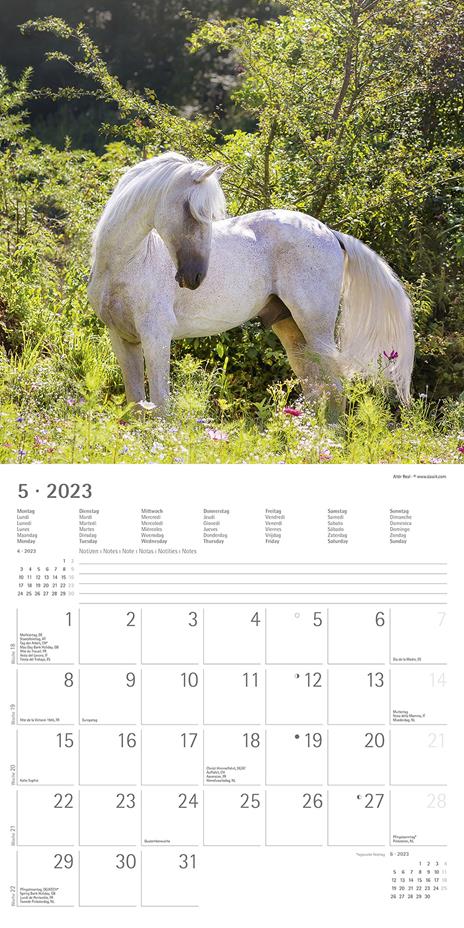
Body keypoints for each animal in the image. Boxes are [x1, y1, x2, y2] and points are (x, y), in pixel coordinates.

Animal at [88, 151, 414, 420]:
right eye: (190, 210)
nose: (195, 277)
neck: (127, 263)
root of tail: (330, 233)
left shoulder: (155, 337)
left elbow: (159, 405)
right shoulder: (123, 339)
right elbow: (135, 403)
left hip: (316, 329)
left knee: (335, 389)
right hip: (291, 331)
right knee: (314, 390)